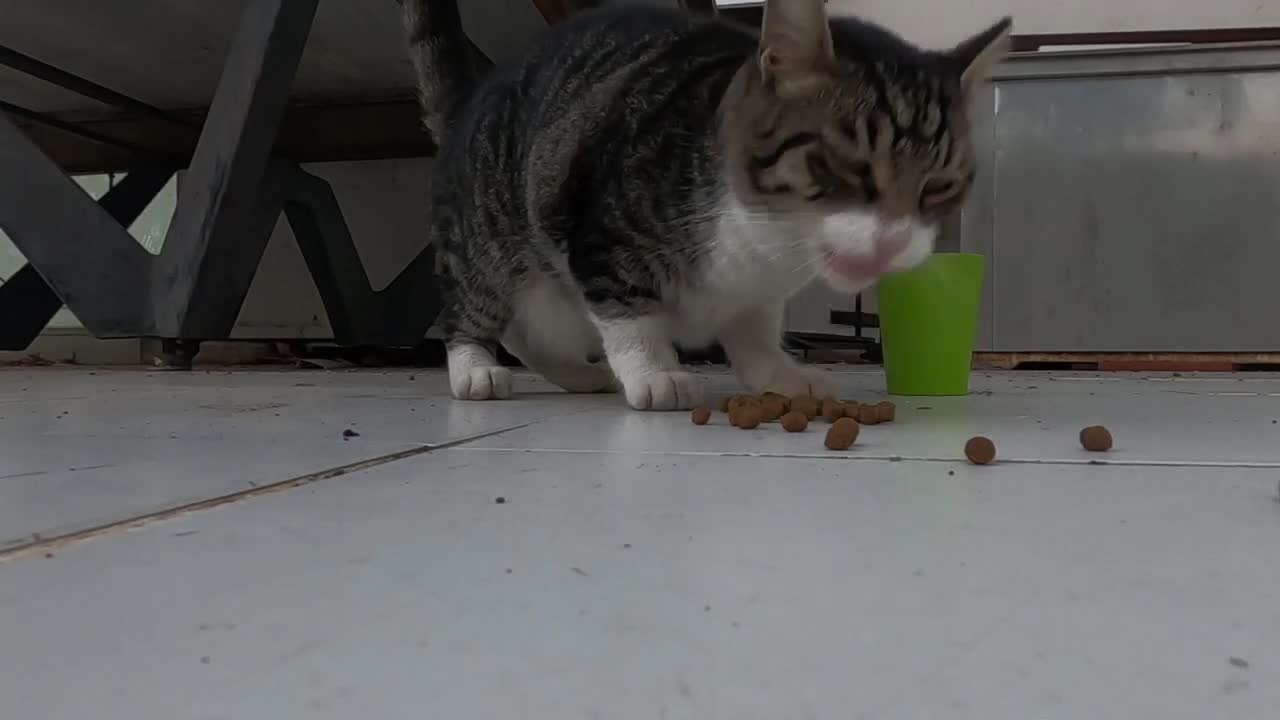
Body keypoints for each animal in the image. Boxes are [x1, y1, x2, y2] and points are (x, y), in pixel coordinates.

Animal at [404, 0, 1013, 407]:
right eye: (849, 168)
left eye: (940, 186)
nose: (892, 240)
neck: (765, 242)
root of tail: (471, 99)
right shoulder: (600, 228)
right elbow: (629, 312)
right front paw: (655, 372)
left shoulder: (761, 291)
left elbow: (756, 332)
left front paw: (779, 374)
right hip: (489, 244)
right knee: (469, 310)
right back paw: (475, 370)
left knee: (527, 332)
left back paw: (578, 375)